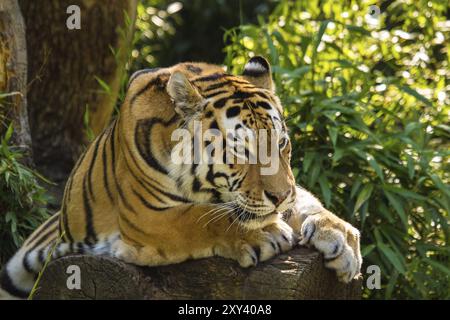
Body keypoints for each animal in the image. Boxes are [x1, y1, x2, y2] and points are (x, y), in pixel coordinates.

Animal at [0, 56, 362, 298]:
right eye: (242, 151)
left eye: (282, 144)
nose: (279, 197)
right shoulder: (146, 217)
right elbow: (199, 218)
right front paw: (265, 233)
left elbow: (304, 201)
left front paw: (341, 238)